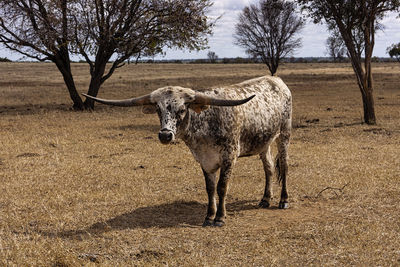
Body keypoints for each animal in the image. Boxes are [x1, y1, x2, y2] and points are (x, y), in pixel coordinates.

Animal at [83, 76, 292, 228]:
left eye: (182, 109)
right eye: (158, 109)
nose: (165, 135)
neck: (207, 121)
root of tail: (276, 80)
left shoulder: (229, 157)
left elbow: (222, 187)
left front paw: (220, 218)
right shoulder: (204, 159)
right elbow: (210, 188)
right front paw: (209, 216)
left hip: (284, 134)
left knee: (284, 166)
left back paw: (283, 200)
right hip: (264, 142)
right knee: (269, 168)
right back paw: (265, 199)